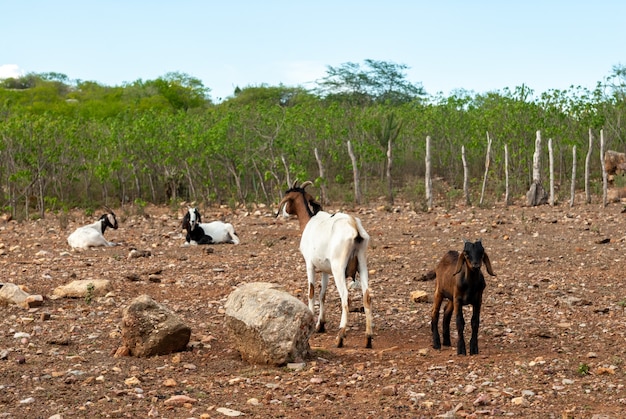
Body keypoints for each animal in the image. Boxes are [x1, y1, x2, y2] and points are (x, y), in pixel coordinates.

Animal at [276, 182, 372, 350]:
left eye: (288, 196)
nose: (284, 213)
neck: (309, 221)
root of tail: (354, 226)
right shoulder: (325, 270)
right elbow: (323, 294)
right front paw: (321, 324)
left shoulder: (309, 264)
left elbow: (311, 292)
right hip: (362, 264)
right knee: (366, 297)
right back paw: (368, 338)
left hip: (338, 268)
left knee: (345, 298)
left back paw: (340, 337)